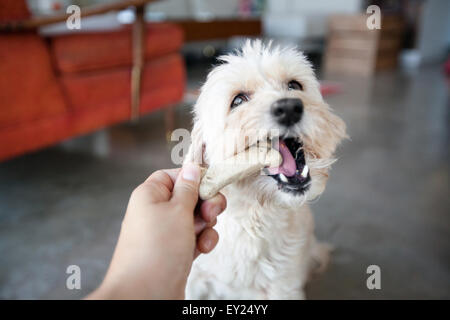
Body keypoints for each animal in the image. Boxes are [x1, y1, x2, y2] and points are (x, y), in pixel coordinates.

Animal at [185, 40, 346, 300]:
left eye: (294, 85)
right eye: (238, 100)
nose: (289, 107)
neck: (254, 216)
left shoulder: (284, 288)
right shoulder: (194, 282)